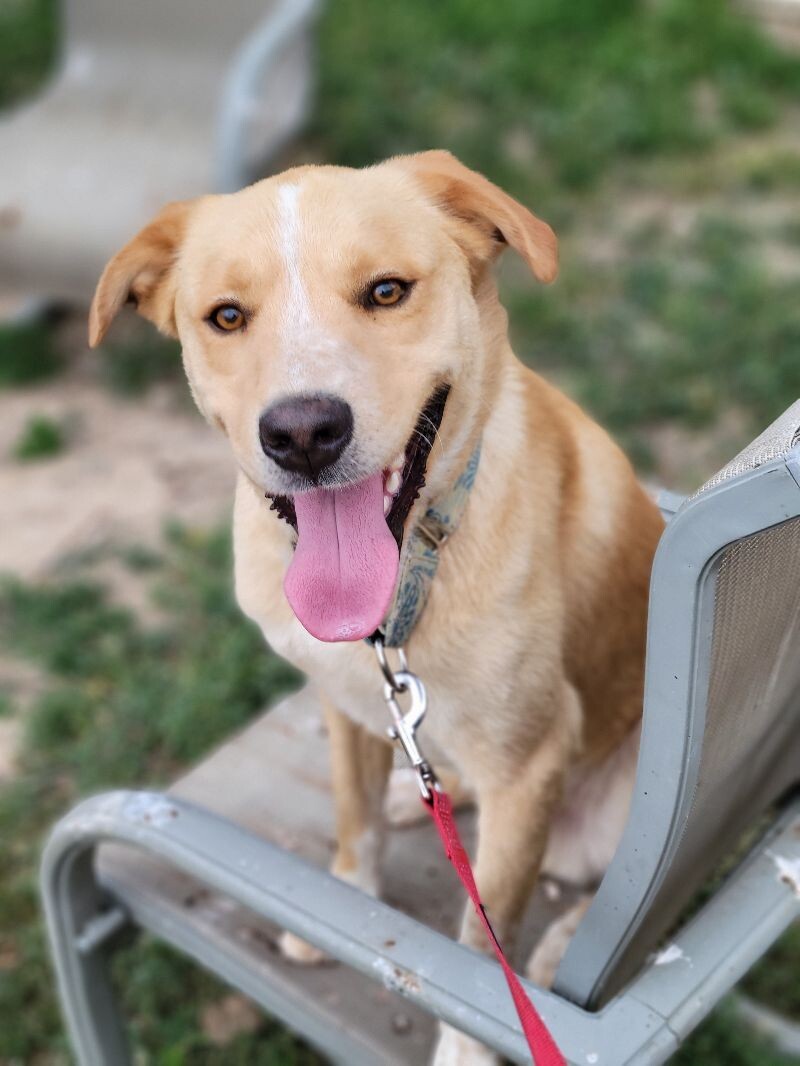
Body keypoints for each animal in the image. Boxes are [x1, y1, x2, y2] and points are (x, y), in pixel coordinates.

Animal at [89, 152, 665, 1066]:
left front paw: (470, 1045)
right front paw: (345, 903)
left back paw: (557, 941)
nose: (302, 433)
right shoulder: (342, 703)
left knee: (623, 894)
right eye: (226, 316)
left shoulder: (530, 763)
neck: (397, 596)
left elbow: (480, 952)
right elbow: (353, 818)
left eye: (387, 291)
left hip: (613, 795)